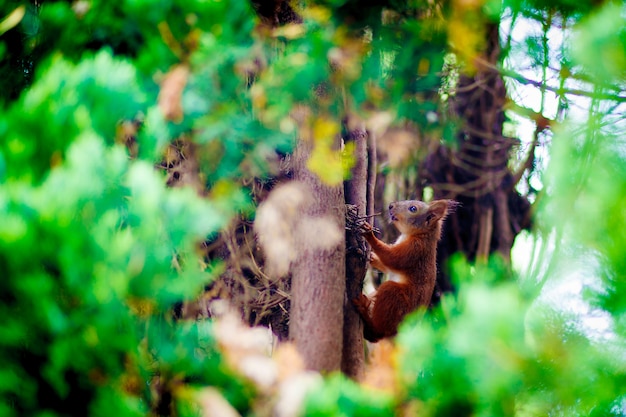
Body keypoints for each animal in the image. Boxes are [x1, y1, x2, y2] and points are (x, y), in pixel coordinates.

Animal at [356, 199, 454, 342]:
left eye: (413, 209)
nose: (390, 205)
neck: (421, 234)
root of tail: (397, 333)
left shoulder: (415, 250)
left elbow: (392, 258)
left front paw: (370, 234)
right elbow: (386, 266)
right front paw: (371, 257)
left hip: (395, 296)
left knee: (377, 334)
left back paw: (364, 310)